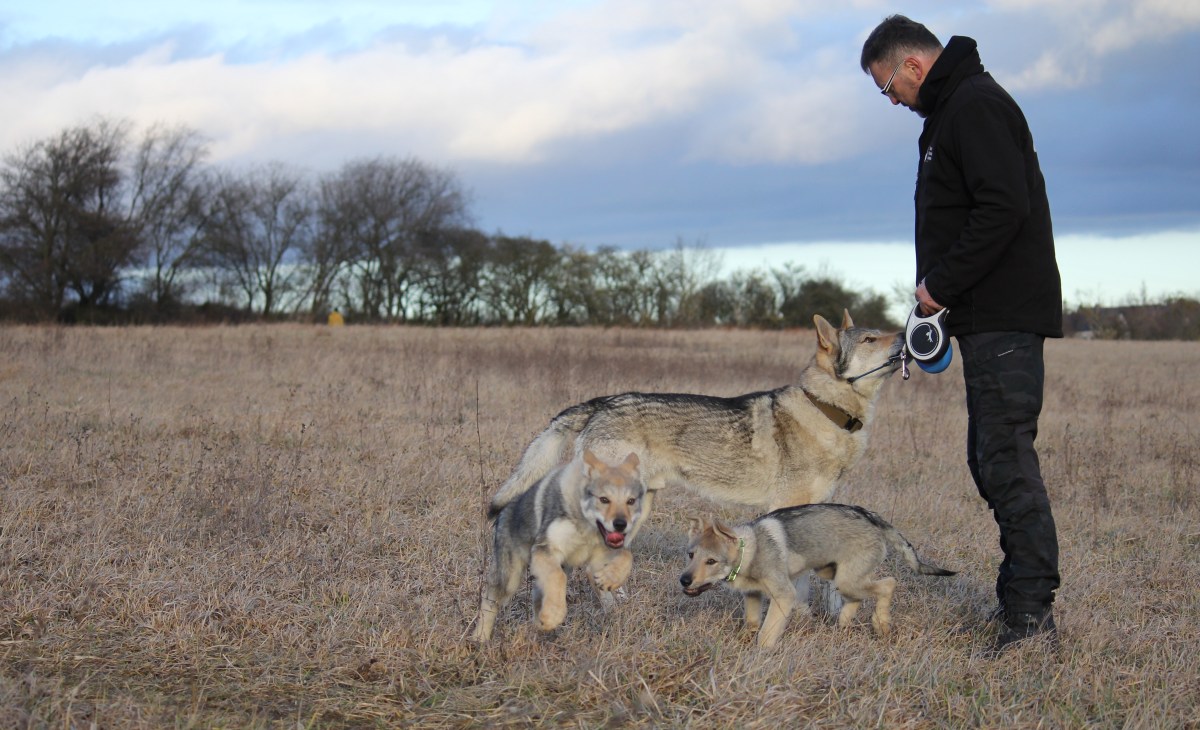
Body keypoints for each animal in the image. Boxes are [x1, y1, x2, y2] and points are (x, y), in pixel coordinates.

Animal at [470, 446, 648, 643]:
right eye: (604, 499)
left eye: (630, 501)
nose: (621, 524)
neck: (586, 527)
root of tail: (508, 505)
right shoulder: (546, 549)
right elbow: (558, 577)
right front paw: (554, 616)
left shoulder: (599, 556)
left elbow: (626, 556)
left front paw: (610, 579)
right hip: (509, 578)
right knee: (489, 601)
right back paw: (479, 638)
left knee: (536, 601)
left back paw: (540, 624)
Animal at [686, 504, 955, 648]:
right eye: (690, 555)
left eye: (711, 561)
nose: (683, 581)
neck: (749, 550)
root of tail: (870, 517)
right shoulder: (752, 595)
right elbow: (753, 624)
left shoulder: (784, 595)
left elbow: (766, 633)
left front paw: (761, 655)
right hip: (836, 576)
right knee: (858, 599)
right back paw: (845, 624)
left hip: (847, 580)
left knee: (889, 584)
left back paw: (881, 625)